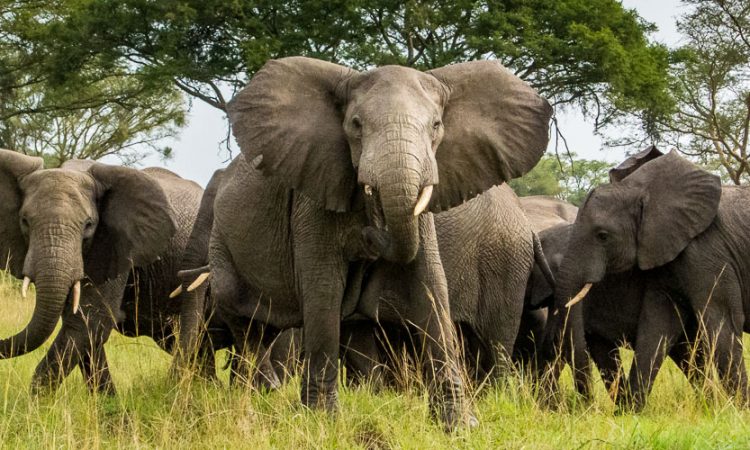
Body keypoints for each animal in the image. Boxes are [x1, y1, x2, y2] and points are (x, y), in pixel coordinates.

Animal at [0, 149, 202, 393]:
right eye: (25, 221)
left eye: (88, 225)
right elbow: (85, 329)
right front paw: (108, 402)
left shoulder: (116, 246)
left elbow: (88, 322)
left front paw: (38, 402)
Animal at [199, 56, 551, 429]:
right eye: (355, 125)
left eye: (436, 125)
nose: (369, 236)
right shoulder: (313, 198)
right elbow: (323, 289)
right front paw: (323, 421)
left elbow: (430, 285)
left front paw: (460, 426)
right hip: (222, 245)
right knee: (245, 323)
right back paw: (255, 402)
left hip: (506, 262)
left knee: (495, 340)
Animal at [544, 145, 750, 411]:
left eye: (603, 236)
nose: (586, 407)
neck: (641, 190)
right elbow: (658, 325)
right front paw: (630, 412)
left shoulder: (707, 250)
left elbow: (721, 322)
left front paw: (740, 411)